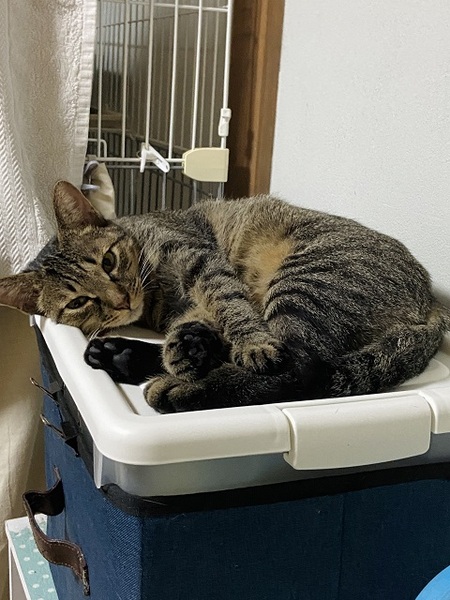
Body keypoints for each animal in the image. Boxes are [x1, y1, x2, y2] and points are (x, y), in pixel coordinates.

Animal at [0, 180, 448, 413]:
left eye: (108, 260)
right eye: (77, 302)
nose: (121, 300)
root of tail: (429, 301)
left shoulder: (200, 260)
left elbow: (231, 307)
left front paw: (242, 344)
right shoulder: (183, 307)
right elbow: (200, 325)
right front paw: (186, 349)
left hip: (306, 283)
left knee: (300, 370)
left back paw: (177, 388)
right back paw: (126, 356)